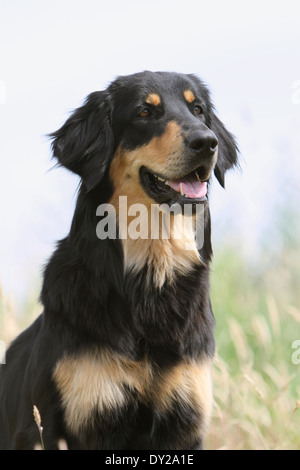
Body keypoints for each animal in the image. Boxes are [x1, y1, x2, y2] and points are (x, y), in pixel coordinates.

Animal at [0, 71, 239, 450]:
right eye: (144, 112)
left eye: (198, 109)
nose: (207, 142)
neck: (152, 273)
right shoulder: (72, 420)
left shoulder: (184, 424)